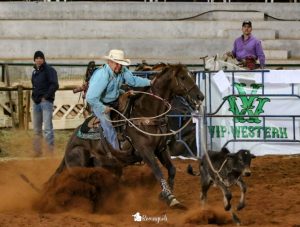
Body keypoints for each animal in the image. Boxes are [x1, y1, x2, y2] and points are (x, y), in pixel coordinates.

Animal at [51, 63, 204, 207]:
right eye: (182, 77)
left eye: (191, 75)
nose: (200, 96)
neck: (147, 113)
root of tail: (69, 144)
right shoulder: (145, 151)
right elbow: (158, 171)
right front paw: (171, 199)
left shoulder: (161, 149)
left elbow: (172, 170)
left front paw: (165, 195)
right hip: (80, 159)